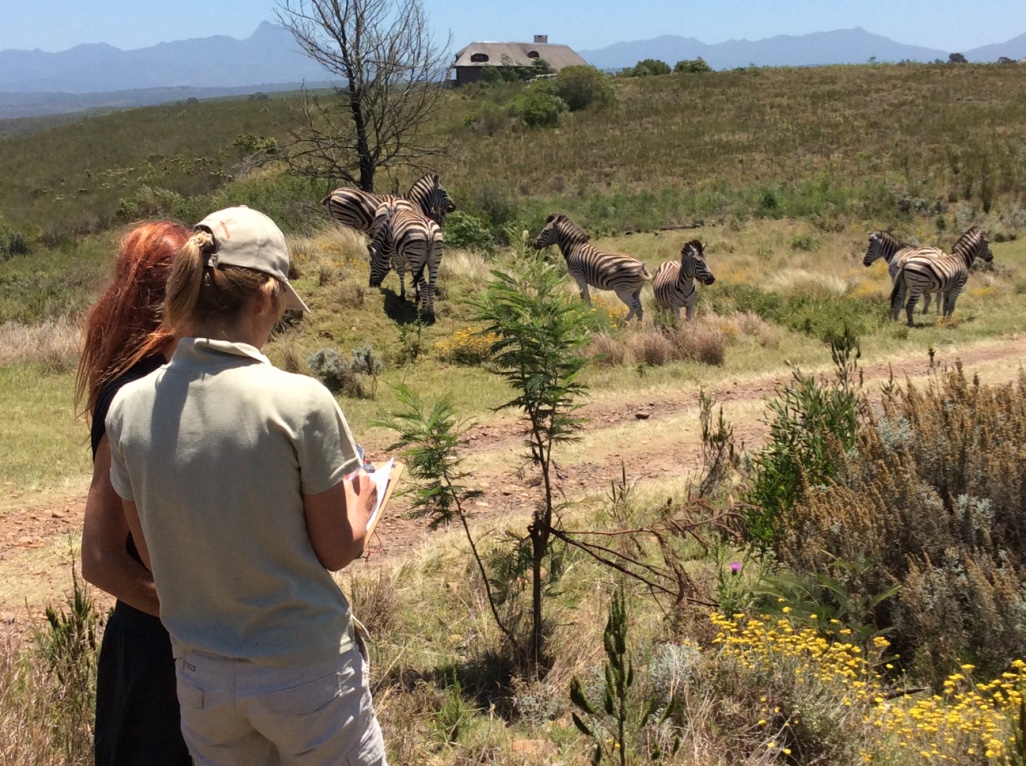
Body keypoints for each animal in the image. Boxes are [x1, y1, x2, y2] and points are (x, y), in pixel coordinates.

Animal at [322, 173, 455, 233]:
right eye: (444, 192)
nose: (454, 207)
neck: (414, 201)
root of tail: (333, 193)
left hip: (336, 218)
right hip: (345, 218)